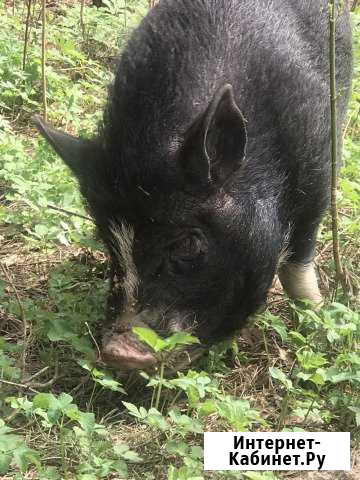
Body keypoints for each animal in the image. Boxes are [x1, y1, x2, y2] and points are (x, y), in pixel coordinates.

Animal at [35, 0, 352, 372]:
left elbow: (298, 264)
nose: (116, 351)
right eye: (108, 243)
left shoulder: (319, 173)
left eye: (188, 243)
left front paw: (316, 318)